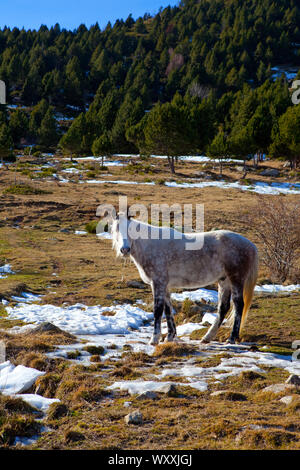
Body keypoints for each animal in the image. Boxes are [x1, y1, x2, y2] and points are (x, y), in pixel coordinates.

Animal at [112, 213, 258, 346]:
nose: (125, 249)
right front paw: (170, 336)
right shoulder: (164, 286)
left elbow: (158, 310)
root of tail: (250, 245)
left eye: (130, 229)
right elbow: (168, 310)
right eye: (116, 229)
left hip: (236, 279)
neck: (150, 246)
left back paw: (231, 338)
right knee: (223, 308)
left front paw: (154, 339)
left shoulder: (158, 283)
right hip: (224, 281)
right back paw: (207, 337)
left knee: (238, 305)